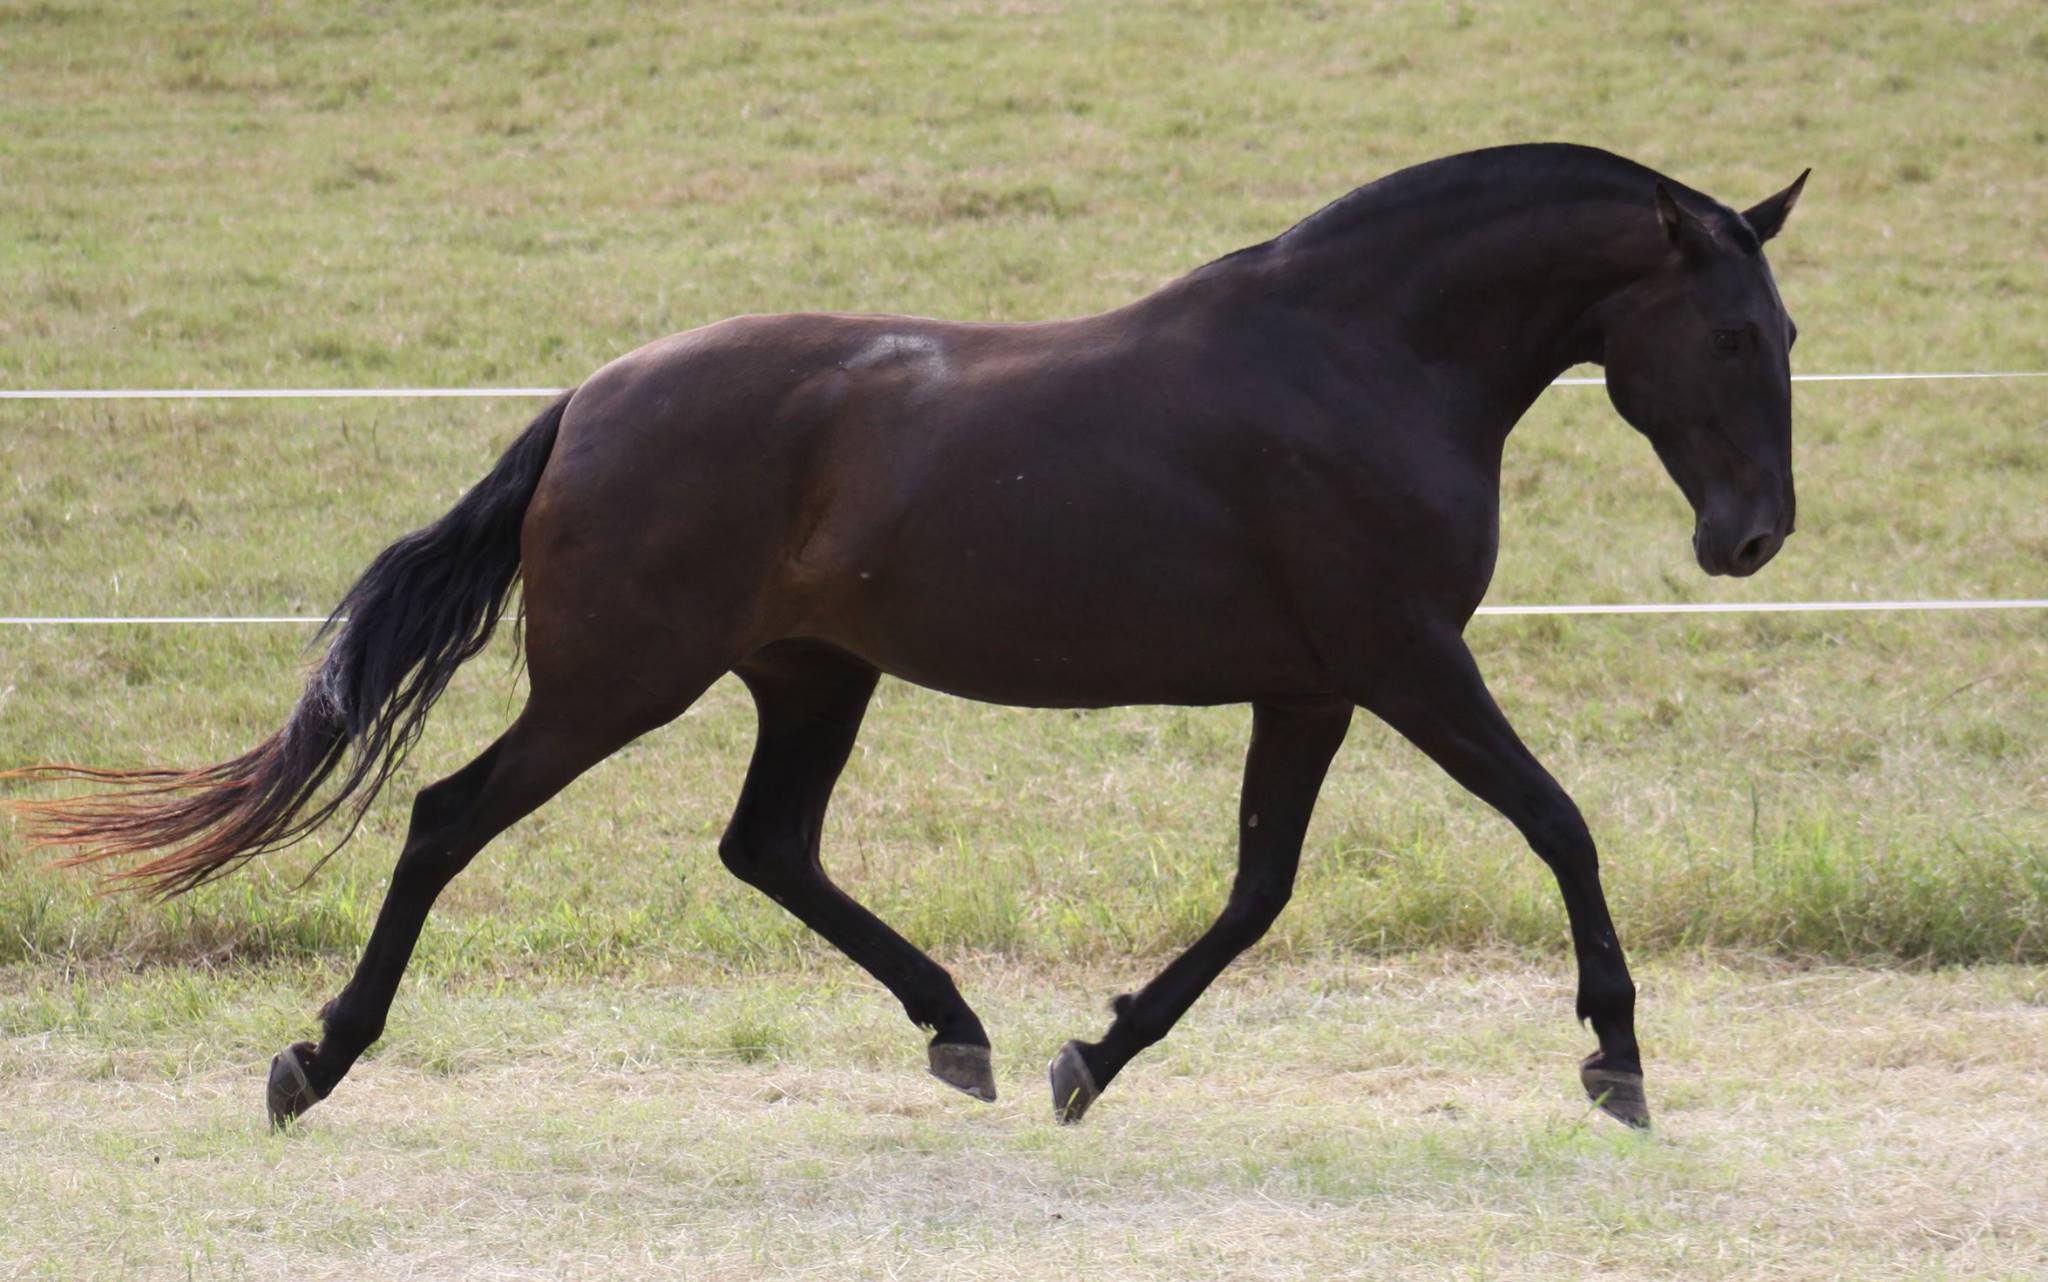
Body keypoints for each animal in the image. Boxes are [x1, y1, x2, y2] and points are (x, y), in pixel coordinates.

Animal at [5, 143, 1806, 1132]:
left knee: (767, 847)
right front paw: (1618, 1062)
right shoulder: (1407, 660)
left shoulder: (1311, 687)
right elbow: (1559, 823)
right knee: (452, 817)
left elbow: (1256, 890)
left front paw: (1092, 1052)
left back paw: (962, 1030)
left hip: (811, 678)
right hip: (618, 682)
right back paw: (313, 1060)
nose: (1751, 536)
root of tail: (591, 399)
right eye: (1730, 333)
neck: (1360, 357)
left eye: (1784, 331)